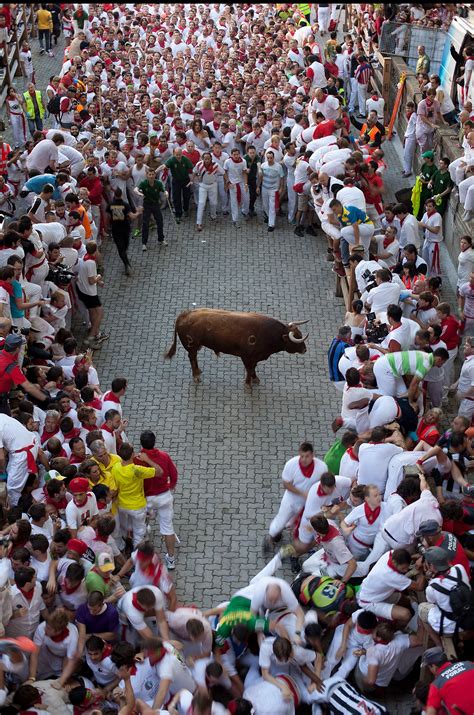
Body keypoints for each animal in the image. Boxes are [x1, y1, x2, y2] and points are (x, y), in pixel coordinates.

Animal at [165, 308, 310, 386]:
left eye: (300, 334)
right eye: (296, 340)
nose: (305, 350)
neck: (270, 334)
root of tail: (183, 315)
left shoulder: (254, 358)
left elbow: (253, 368)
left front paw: (254, 379)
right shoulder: (246, 356)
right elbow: (249, 369)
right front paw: (249, 383)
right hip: (191, 346)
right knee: (192, 357)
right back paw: (196, 376)